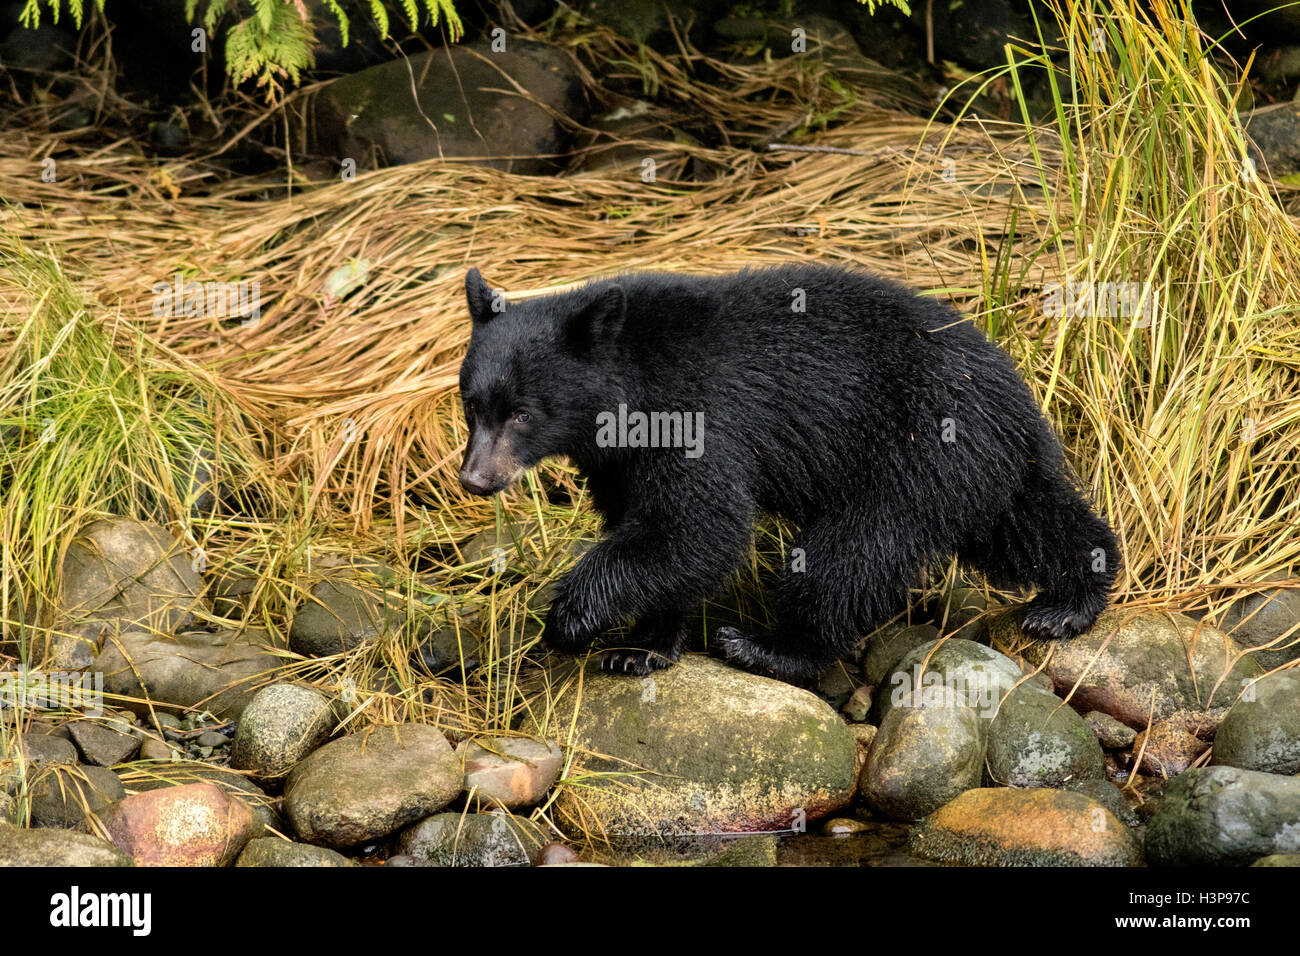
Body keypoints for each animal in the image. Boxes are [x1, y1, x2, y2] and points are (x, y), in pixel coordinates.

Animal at [457, 261, 1118, 681]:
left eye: (522, 412)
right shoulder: (620, 461)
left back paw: (769, 647)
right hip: (983, 462)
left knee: (851, 554)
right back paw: (1072, 598)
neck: (630, 389)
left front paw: (571, 618)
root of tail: (1014, 383)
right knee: (1028, 521)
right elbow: (654, 533)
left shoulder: (697, 417)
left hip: (918, 444)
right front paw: (643, 647)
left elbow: (696, 528)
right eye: (471, 405)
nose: (475, 479)